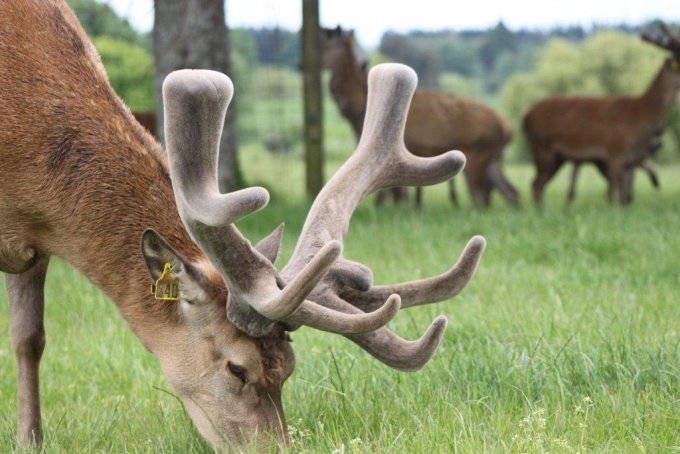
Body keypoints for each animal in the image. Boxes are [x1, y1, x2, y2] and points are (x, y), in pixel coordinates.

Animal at [1, 0, 488, 448]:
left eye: (288, 368)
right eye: (237, 368)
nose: (276, 447)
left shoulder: (32, 246)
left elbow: (30, 338)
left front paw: (31, 440)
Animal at [322, 26, 516, 207]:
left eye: (328, 43)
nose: (308, 64)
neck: (358, 114)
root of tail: (507, 128)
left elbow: (391, 197)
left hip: (477, 154)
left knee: (481, 197)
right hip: (492, 158)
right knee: (509, 191)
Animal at [524, 23, 676, 204]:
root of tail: (525, 116)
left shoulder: (629, 161)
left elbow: (621, 195)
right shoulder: (615, 154)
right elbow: (615, 195)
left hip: (557, 158)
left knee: (539, 185)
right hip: (543, 152)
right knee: (536, 185)